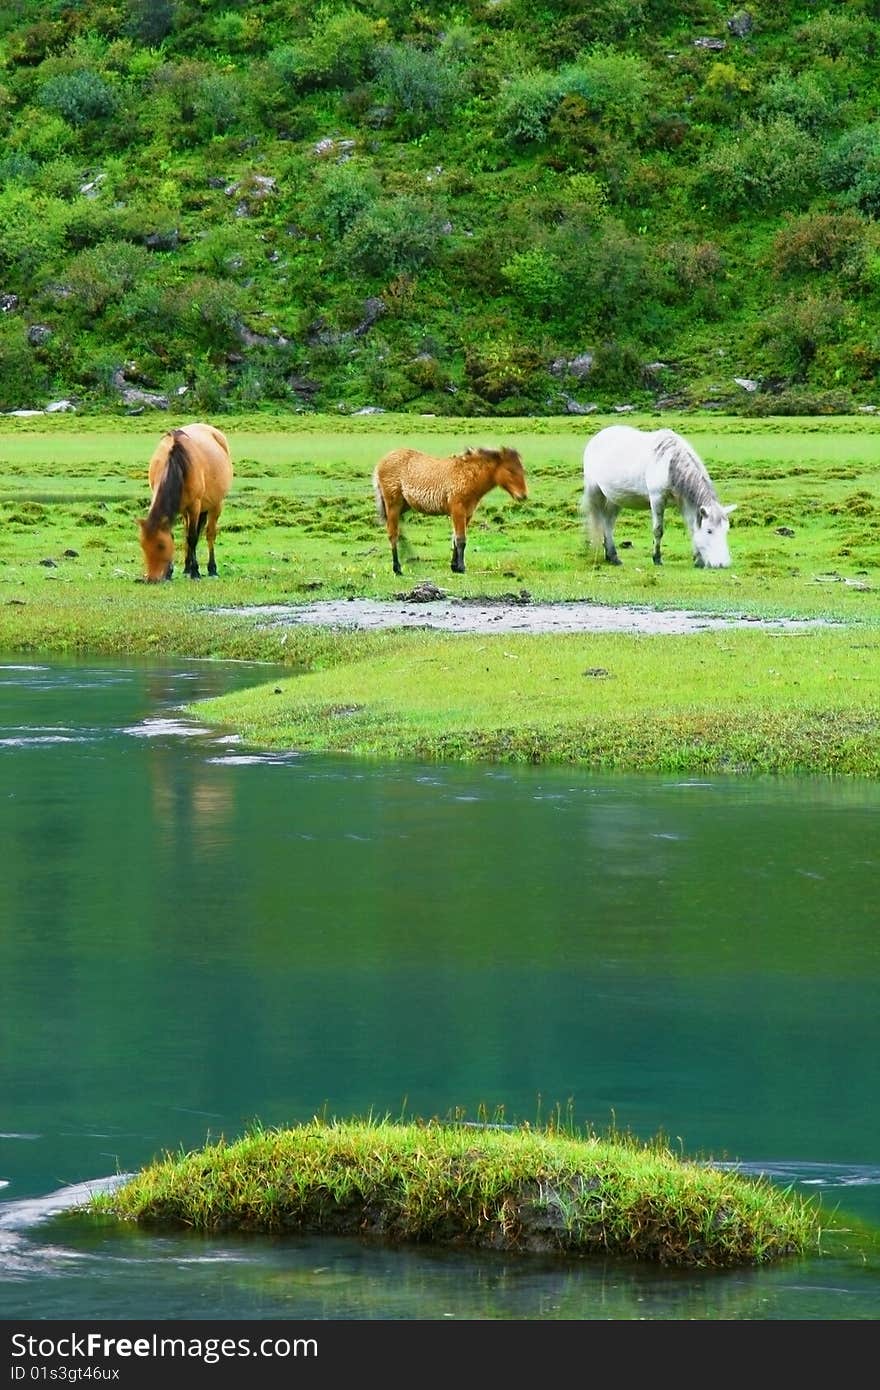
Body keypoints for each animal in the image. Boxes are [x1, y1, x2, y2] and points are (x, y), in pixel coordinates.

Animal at [137, 417, 233, 581]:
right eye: (143, 545)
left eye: (161, 545)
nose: (152, 579)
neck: (177, 462)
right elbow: (177, 536)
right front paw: (169, 573)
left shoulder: (195, 506)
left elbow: (193, 537)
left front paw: (195, 572)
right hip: (185, 511)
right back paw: (187, 567)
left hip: (215, 505)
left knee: (209, 534)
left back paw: (211, 569)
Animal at [372, 444, 528, 575]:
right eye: (510, 470)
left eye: (522, 470)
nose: (523, 496)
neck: (468, 475)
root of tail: (380, 463)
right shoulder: (457, 510)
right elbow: (460, 540)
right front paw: (461, 568)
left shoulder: (467, 513)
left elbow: (455, 539)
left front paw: (454, 566)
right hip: (393, 504)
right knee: (393, 534)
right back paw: (397, 568)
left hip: (404, 506)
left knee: (399, 532)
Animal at [583, 428, 734, 569]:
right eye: (709, 531)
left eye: (726, 530)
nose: (723, 564)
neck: (669, 463)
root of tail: (597, 437)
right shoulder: (657, 498)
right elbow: (658, 530)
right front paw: (657, 559)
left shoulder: (684, 502)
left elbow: (692, 528)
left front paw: (698, 560)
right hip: (596, 493)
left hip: (615, 498)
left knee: (608, 523)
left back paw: (612, 557)